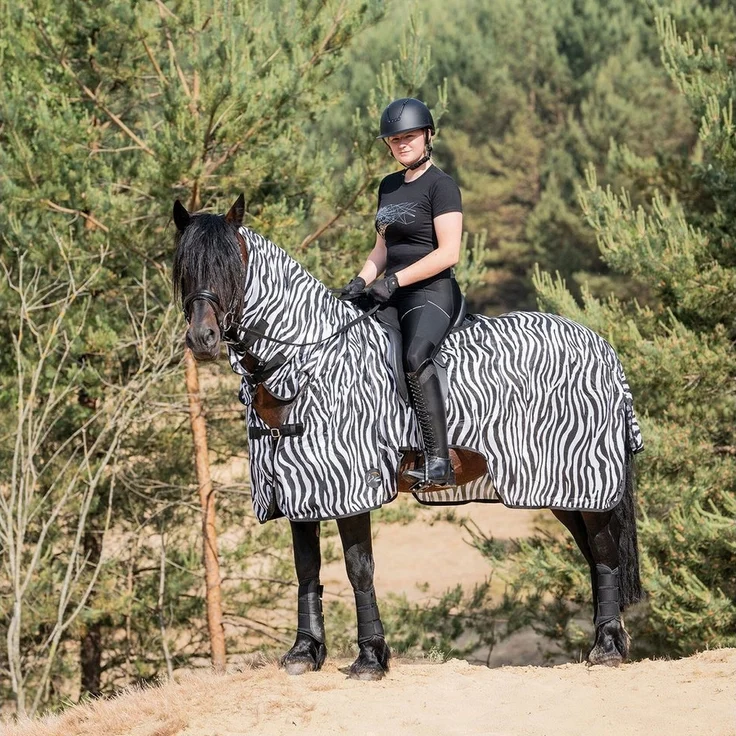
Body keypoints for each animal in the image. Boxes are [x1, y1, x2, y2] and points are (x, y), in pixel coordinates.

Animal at [172, 194, 644, 679]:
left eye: (232, 265)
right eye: (184, 266)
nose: (202, 338)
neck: (307, 364)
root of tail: (604, 348)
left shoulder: (349, 484)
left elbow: (359, 568)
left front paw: (370, 657)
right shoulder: (295, 490)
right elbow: (306, 569)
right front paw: (304, 651)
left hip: (581, 479)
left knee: (604, 552)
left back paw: (608, 648)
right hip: (563, 491)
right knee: (592, 553)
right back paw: (605, 641)